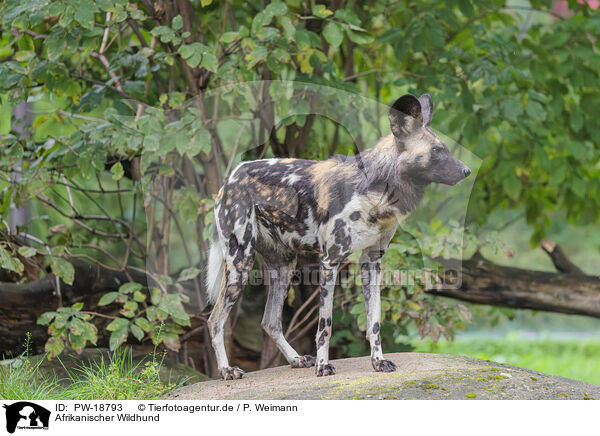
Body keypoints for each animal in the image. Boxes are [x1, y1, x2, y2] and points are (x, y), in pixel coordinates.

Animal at [204, 93, 472, 378]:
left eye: (444, 148)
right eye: (437, 151)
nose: (467, 171)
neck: (377, 193)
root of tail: (231, 177)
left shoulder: (372, 263)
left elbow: (374, 322)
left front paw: (378, 361)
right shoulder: (330, 262)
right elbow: (325, 324)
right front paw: (323, 366)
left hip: (284, 266)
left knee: (270, 321)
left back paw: (296, 359)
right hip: (240, 264)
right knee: (215, 320)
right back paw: (227, 370)